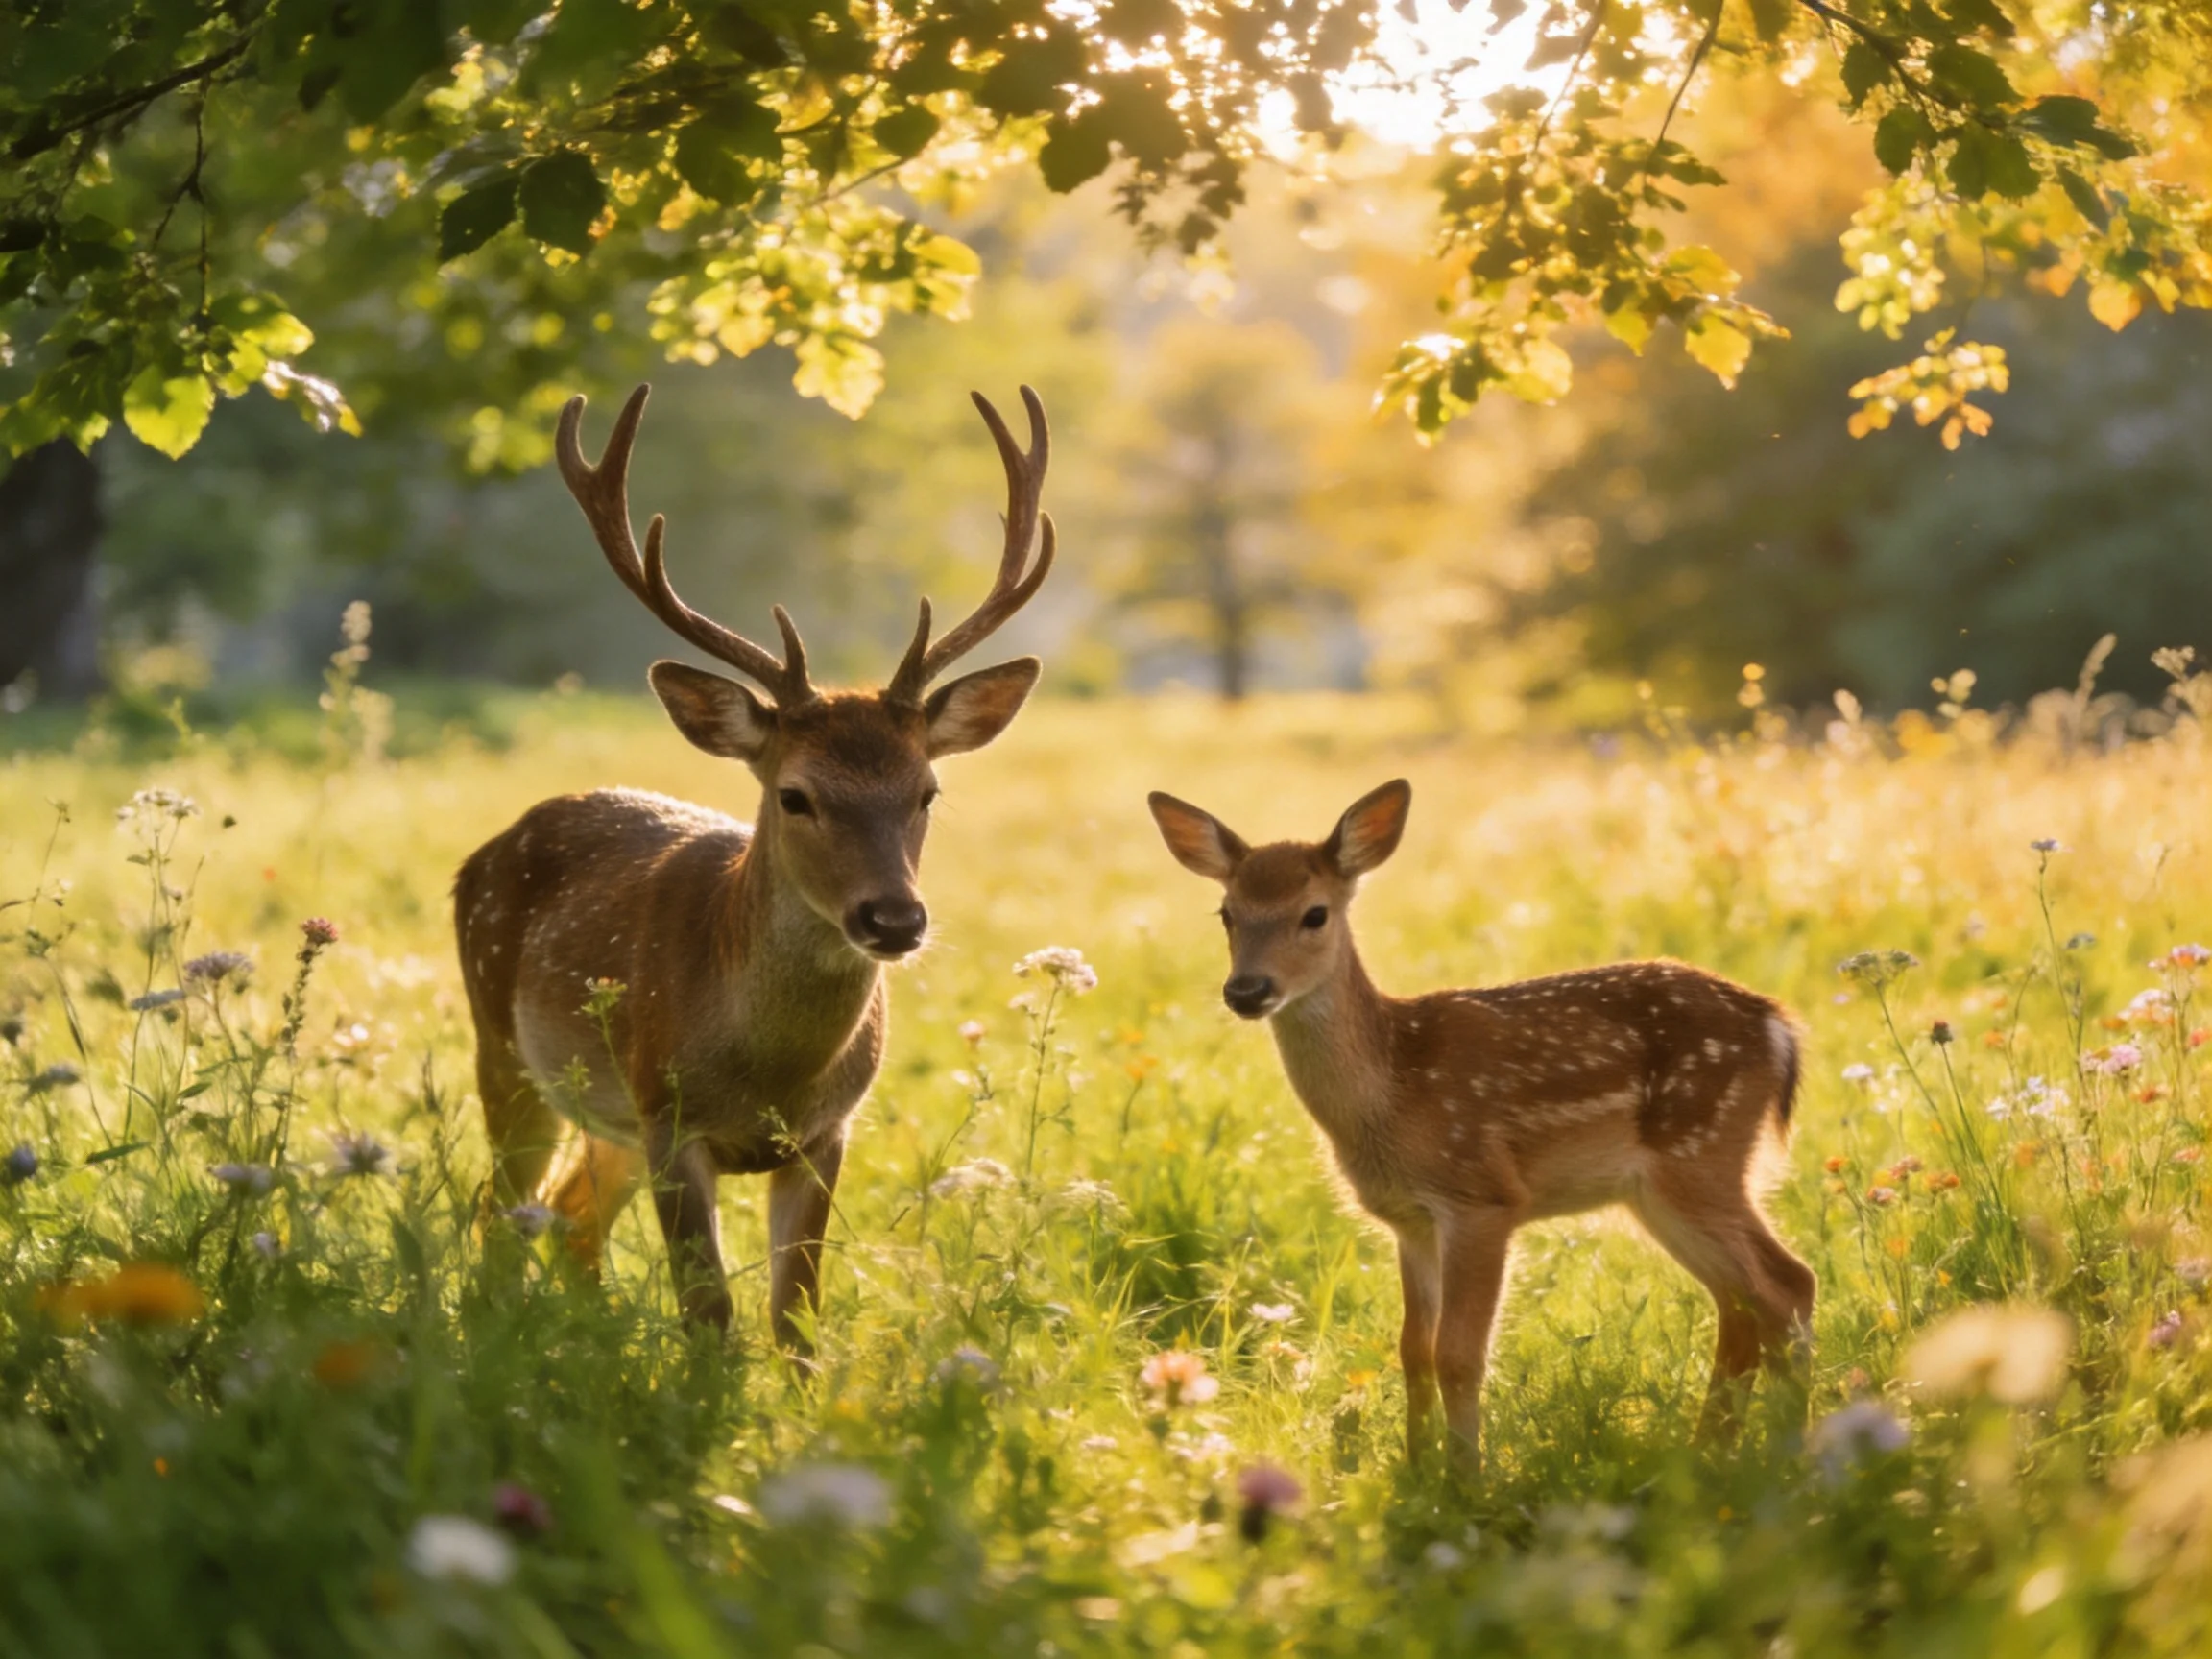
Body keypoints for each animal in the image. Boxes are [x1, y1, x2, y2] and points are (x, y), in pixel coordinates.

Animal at [455, 381, 1057, 1349]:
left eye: (927, 791)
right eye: (795, 795)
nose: (894, 918)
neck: (767, 1072)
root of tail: (486, 849)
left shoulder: (827, 1133)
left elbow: (795, 1314)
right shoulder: (670, 1118)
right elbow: (708, 1312)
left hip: (605, 1116)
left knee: (570, 1219)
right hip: (504, 1049)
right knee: (501, 1216)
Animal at [1147, 778, 1814, 1467]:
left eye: (1314, 914)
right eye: (1227, 914)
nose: (1246, 990)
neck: (1393, 1090)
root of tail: (1780, 1027)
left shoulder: (1483, 1197)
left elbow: (1460, 1355)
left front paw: (1467, 1476)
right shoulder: (1409, 1220)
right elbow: (1414, 1350)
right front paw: (1416, 1466)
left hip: (1701, 1151)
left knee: (1787, 1283)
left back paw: (1793, 1451)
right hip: (1659, 1189)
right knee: (1741, 1299)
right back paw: (1713, 1449)